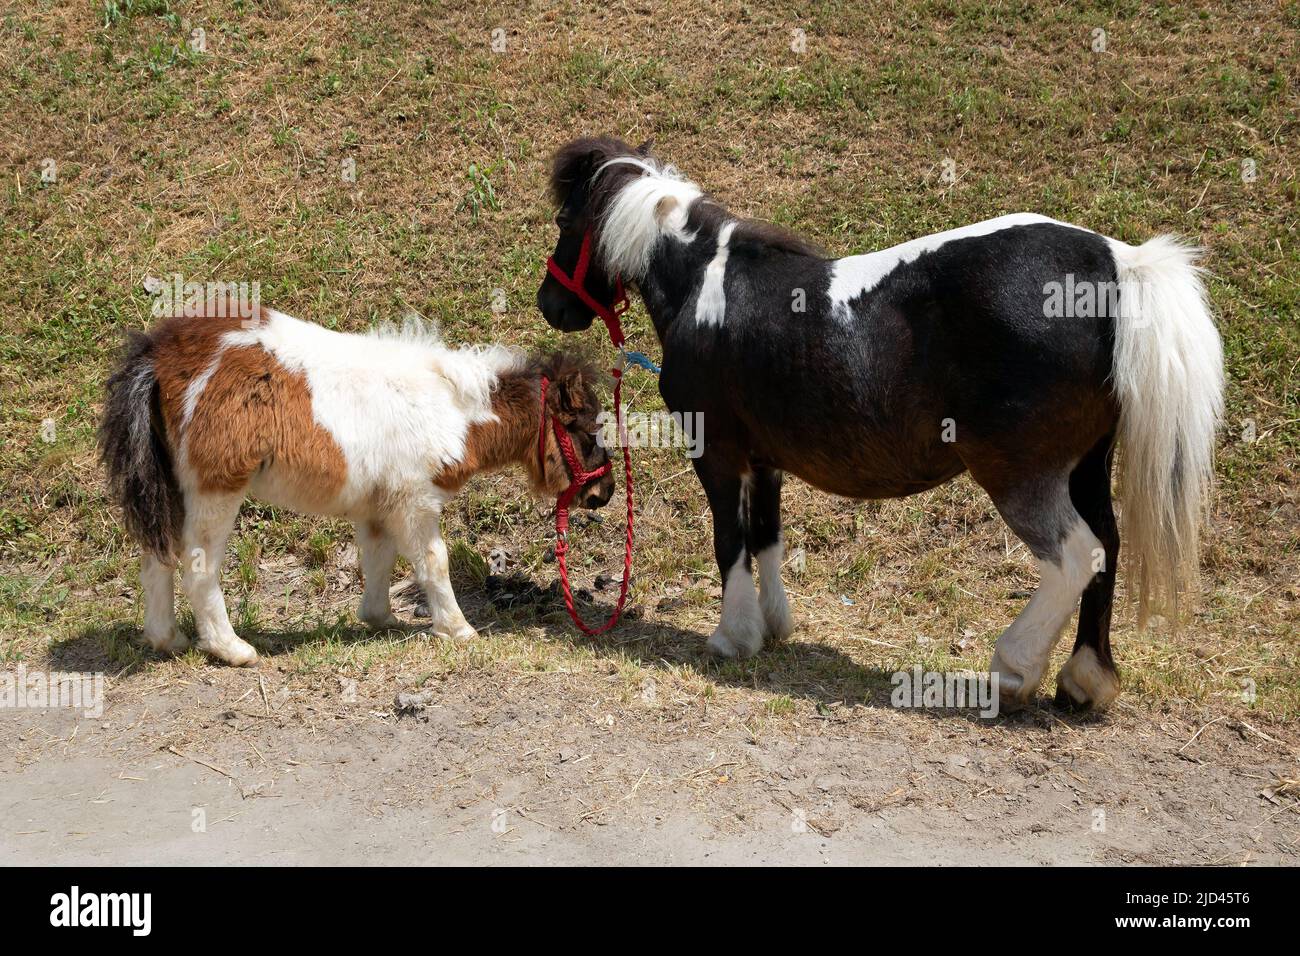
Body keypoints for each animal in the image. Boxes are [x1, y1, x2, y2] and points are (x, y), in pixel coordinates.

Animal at [100, 305, 614, 666]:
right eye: (587, 431)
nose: (603, 493)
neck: (448, 408)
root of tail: (160, 351)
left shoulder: (380, 505)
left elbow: (379, 558)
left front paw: (380, 619)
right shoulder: (414, 501)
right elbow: (433, 561)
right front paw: (458, 629)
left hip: (171, 488)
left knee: (157, 557)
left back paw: (167, 639)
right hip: (215, 489)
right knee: (197, 565)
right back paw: (231, 649)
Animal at [537, 136, 1224, 711]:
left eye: (567, 222)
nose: (551, 305)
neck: (704, 287)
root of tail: (1116, 265)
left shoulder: (719, 453)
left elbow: (729, 541)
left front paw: (733, 636)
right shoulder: (766, 460)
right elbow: (766, 536)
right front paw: (774, 626)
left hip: (1019, 473)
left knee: (1077, 555)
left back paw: (1014, 669)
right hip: (1086, 464)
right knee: (1109, 547)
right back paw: (1085, 680)